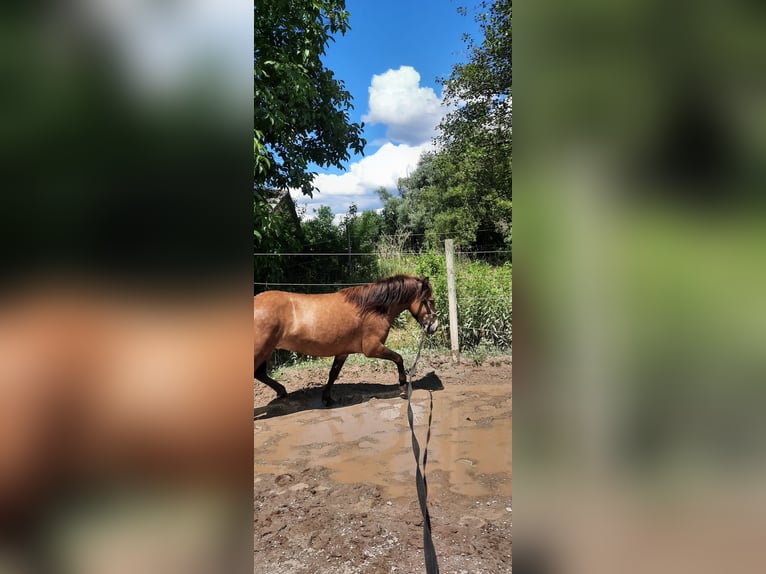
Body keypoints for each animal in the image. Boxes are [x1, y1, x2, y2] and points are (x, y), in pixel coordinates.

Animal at [255, 276, 440, 408]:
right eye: (431, 300)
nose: (434, 326)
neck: (372, 308)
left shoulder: (343, 351)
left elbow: (333, 373)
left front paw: (327, 399)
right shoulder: (372, 348)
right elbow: (399, 358)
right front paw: (402, 385)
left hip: (266, 350)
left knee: (260, 374)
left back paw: (282, 391)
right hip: (261, 350)